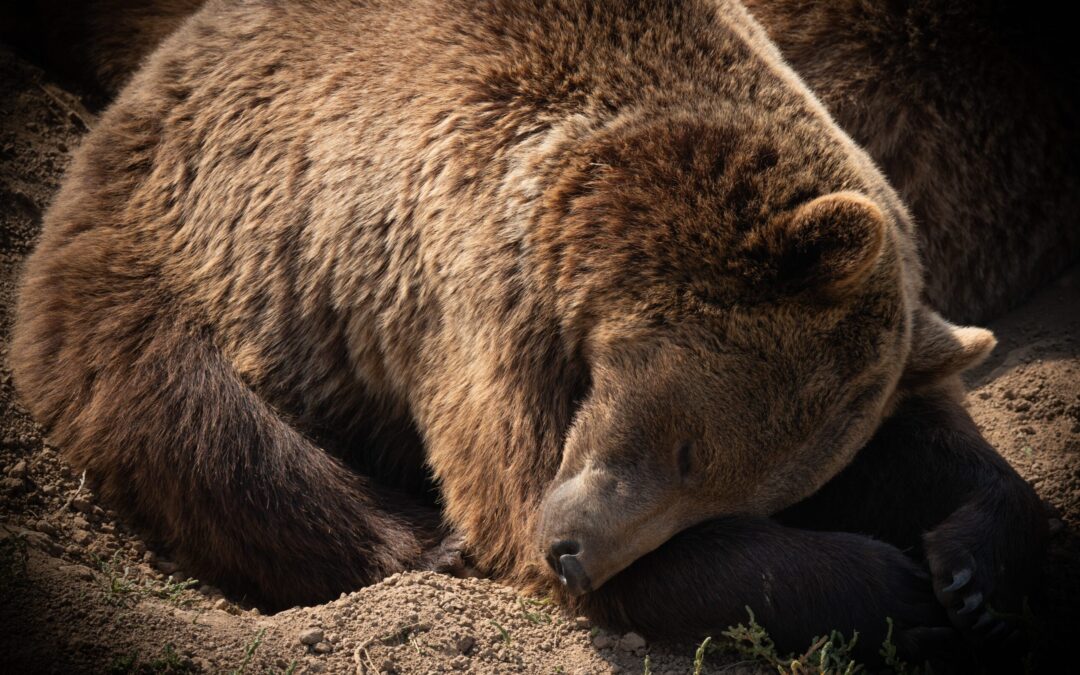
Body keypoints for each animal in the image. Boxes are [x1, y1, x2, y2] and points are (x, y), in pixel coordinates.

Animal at [9, 0, 1048, 665]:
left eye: (735, 488)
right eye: (688, 450)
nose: (576, 552)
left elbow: (930, 437)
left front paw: (978, 576)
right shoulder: (473, 278)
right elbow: (509, 492)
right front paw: (899, 591)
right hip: (198, 238)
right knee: (194, 414)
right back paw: (417, 541)